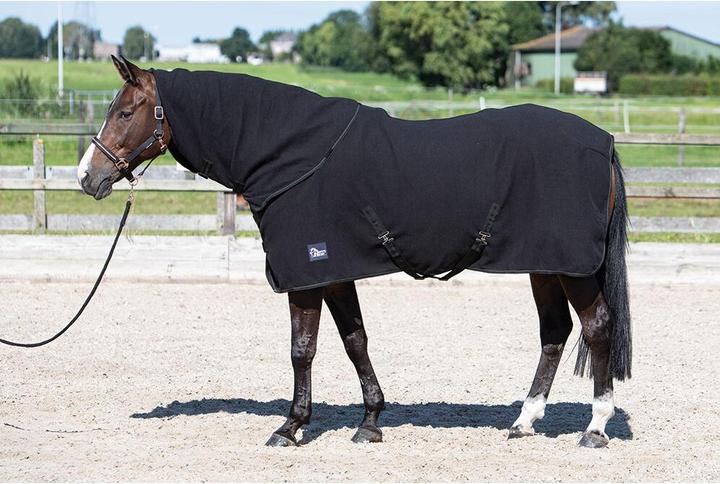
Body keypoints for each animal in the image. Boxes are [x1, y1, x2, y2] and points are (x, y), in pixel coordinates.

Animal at [77, 55, 631, 449]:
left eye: (124, 112)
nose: (87, 177)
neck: (291, 153)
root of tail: (602, 142)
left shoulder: (306, 274)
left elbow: (303, 349)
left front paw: (290, 427)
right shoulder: (335, 272)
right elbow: (355, 340)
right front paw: (369, 422)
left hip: (571, 269)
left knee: (597, 327)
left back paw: (595, 427)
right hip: (546, 265)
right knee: (554, 333)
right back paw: (524, 421)